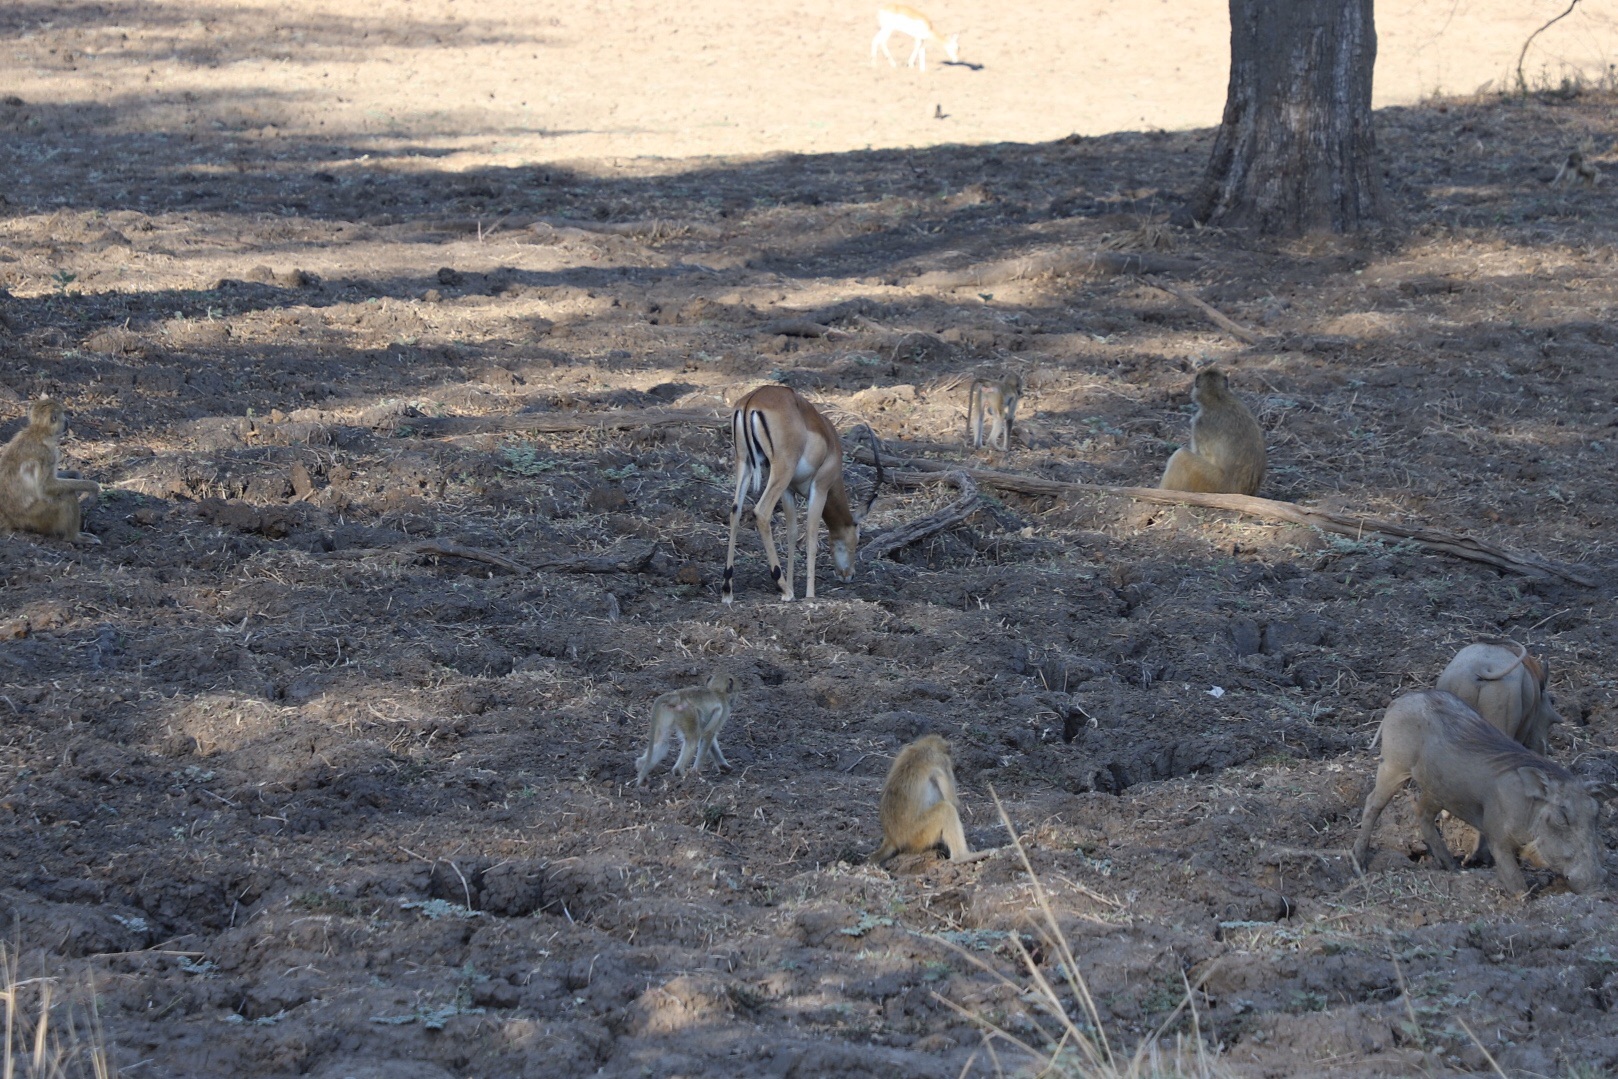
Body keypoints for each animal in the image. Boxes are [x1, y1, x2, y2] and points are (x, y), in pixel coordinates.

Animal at [728, 383, 893, 605]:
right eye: (858, 537)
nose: (848, 575)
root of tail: (753, 399)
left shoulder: (789, 491)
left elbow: (792, 534)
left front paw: (792, 588)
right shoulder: (820, 489)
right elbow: (811, 536)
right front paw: (808, 594)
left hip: (743, 463)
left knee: (735, 511)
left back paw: (727, 591)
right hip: (780, 471)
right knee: (761, 512)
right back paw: (782, 587)